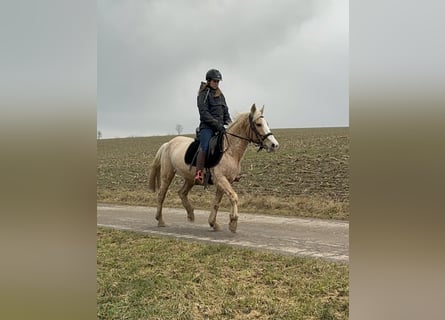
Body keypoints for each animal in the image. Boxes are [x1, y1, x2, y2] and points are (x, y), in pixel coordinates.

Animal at [147, 104, 280, 232]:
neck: (229, 150)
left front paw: (213, 223)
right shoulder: (221, 179)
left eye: (267, 124)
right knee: (161, 195)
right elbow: (234, 197)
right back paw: (161, 220)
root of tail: (167, 144)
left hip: (190, 178)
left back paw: (190, 214)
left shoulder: (226, 181)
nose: (274, 145)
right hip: (167, 175)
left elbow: (217, 202)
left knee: (182, 193)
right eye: (258, 124)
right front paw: (233, 222)